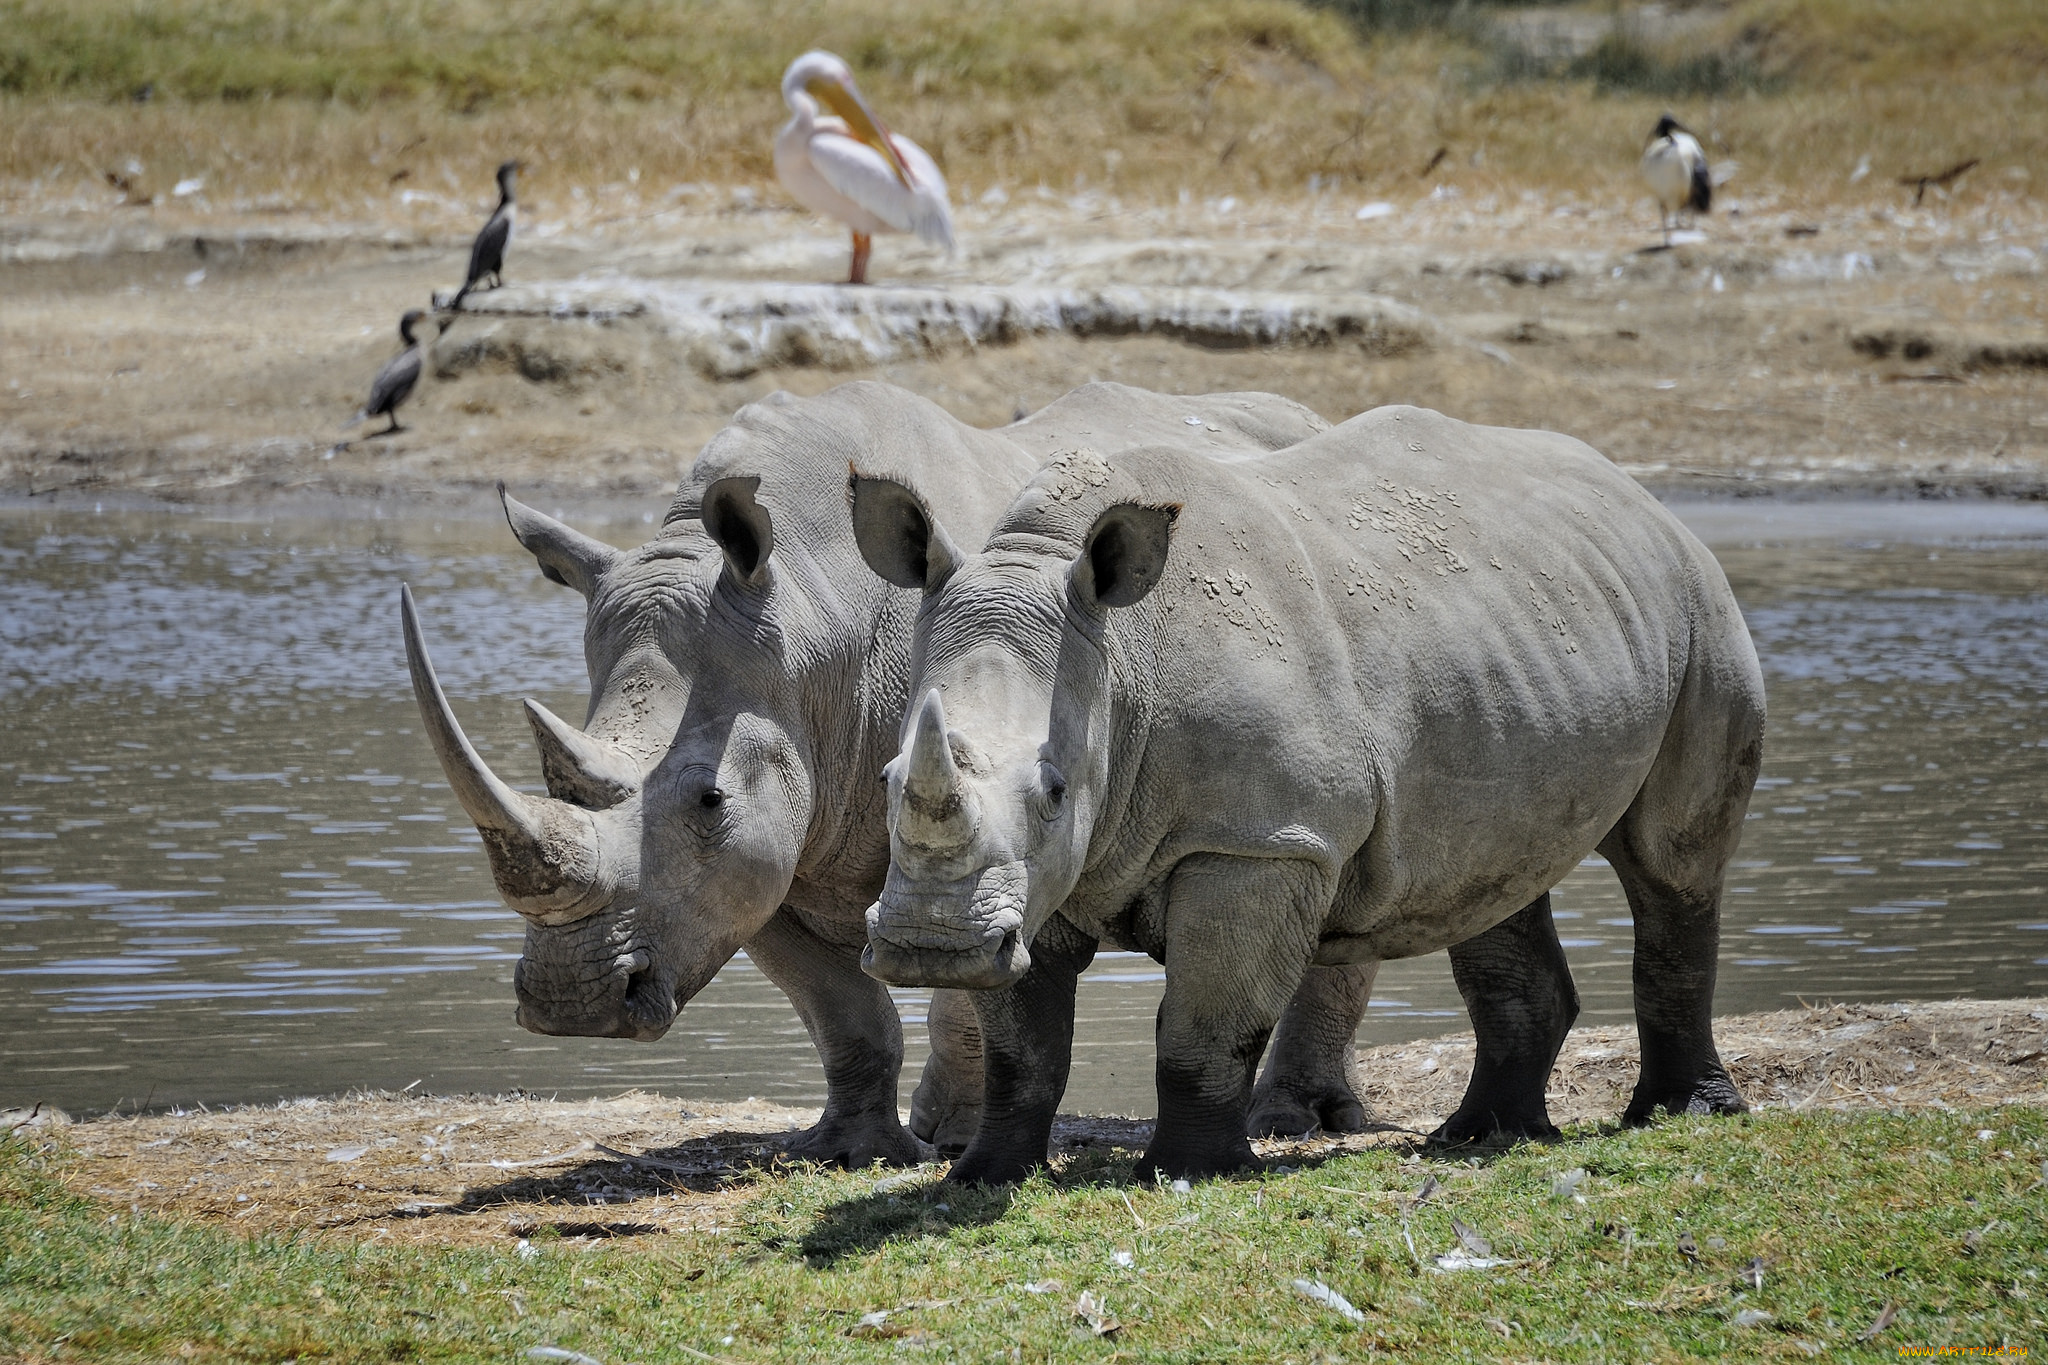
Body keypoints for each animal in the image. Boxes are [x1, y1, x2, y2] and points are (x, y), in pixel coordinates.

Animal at [399, 382, 1392, 1162]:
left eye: (709, 801)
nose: (574, 1002)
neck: (811, 620)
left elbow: (960, 981)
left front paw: (950, 1135)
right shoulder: (766, 851)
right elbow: (842, 1007)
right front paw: (851, 1149)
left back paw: (1297, 1122)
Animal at [847, 403, 1761, 1186]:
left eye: (1054, 790)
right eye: (888, 779)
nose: (931, 946)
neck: (1122, 657)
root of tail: (1644, 499)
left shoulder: (1259, 841)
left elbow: (1205, 1024)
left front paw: (1192, 1172)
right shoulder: (1032, 884)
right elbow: (1024, 1044)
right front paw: (984, 1176)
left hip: (1702, 609)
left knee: (1671, 863)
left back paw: (1682, 1113)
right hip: (1531, 642)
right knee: (1493, 876)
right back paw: (1483, 1136)